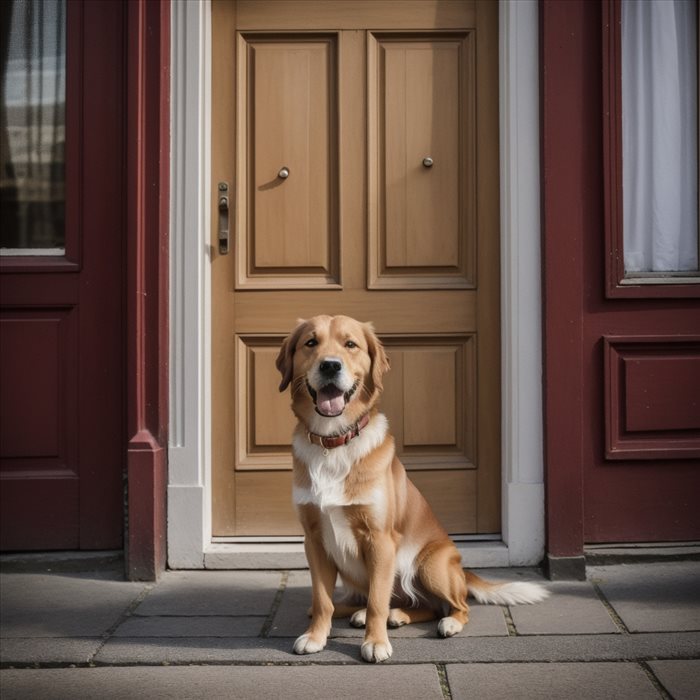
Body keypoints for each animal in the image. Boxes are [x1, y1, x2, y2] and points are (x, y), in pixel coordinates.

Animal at [276, 314, 548, 660]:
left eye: (350, 344)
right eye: (311, 342)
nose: (330, 366)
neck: (334, 442)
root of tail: (462, 569)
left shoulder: (379, 540)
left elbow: (378, 601)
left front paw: (375, 642)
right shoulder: (314, 541)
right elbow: (322, 600)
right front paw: (315, 636)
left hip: (431, 564)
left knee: (453, 606)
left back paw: (444, 623)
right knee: (413, 605)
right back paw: (383, 614)